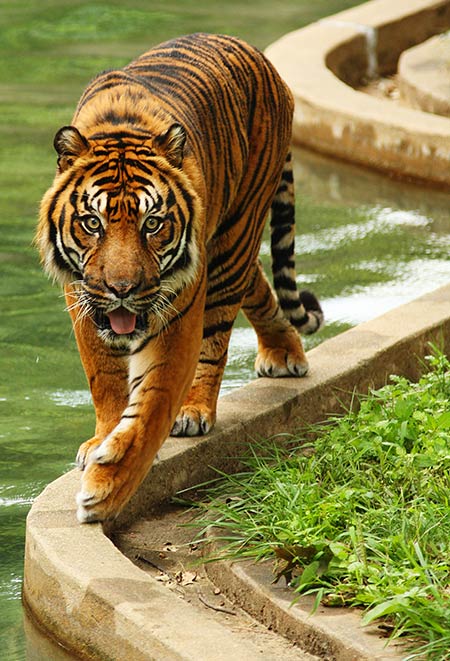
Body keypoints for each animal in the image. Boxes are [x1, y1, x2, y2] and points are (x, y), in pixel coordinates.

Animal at [37, 34, 322, 520]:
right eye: (93, 223)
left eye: (152, 223)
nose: (122, 290)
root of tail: (258, 55)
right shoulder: (83, 300)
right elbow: (105, 379)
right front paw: (103, 438)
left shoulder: (177, 310)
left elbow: (152, 404)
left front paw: (105, 489)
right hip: (230, 252)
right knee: (259, 285)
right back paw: (284, 352)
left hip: (232, 242)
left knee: (218, 335)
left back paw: (195, 408)